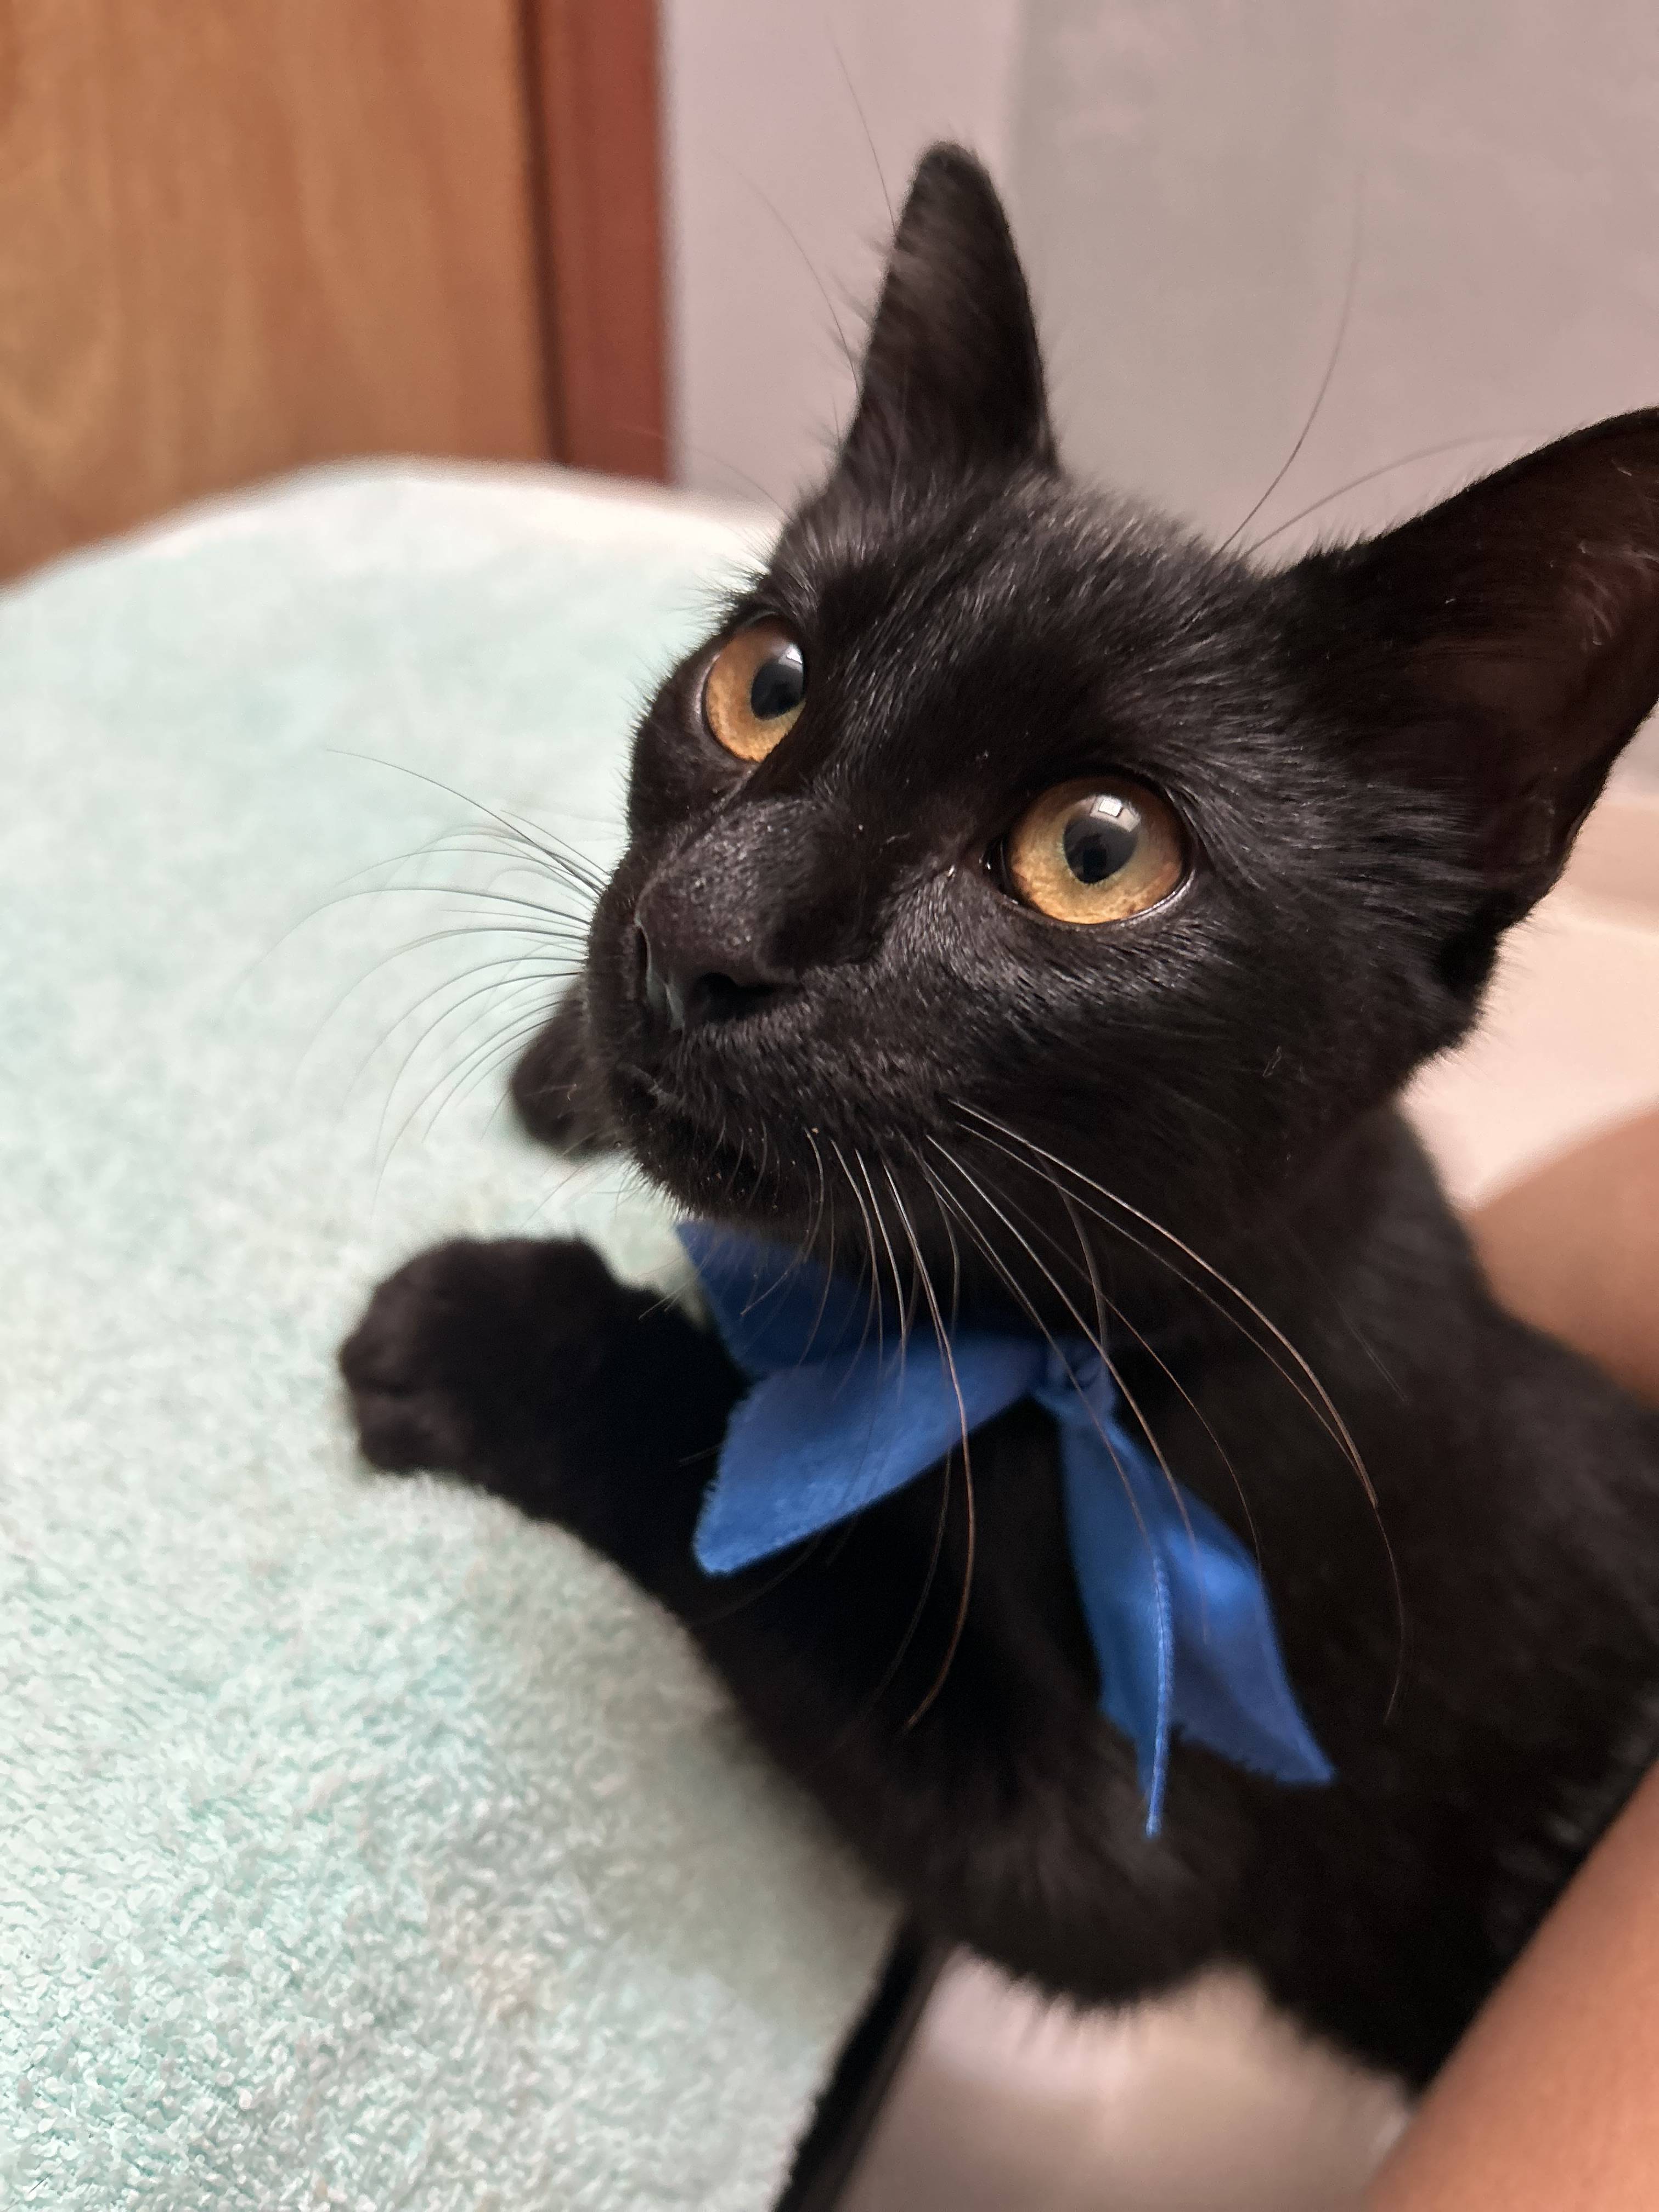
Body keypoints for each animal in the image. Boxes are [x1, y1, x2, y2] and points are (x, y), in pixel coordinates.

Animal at [341, 144, 1659, 2091]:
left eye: (1096, 854)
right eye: (764, 684)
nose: (698, 934)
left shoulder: (1146, 1815)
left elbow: (815, 1550)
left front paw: (499, 1333)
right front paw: (567, 1064)